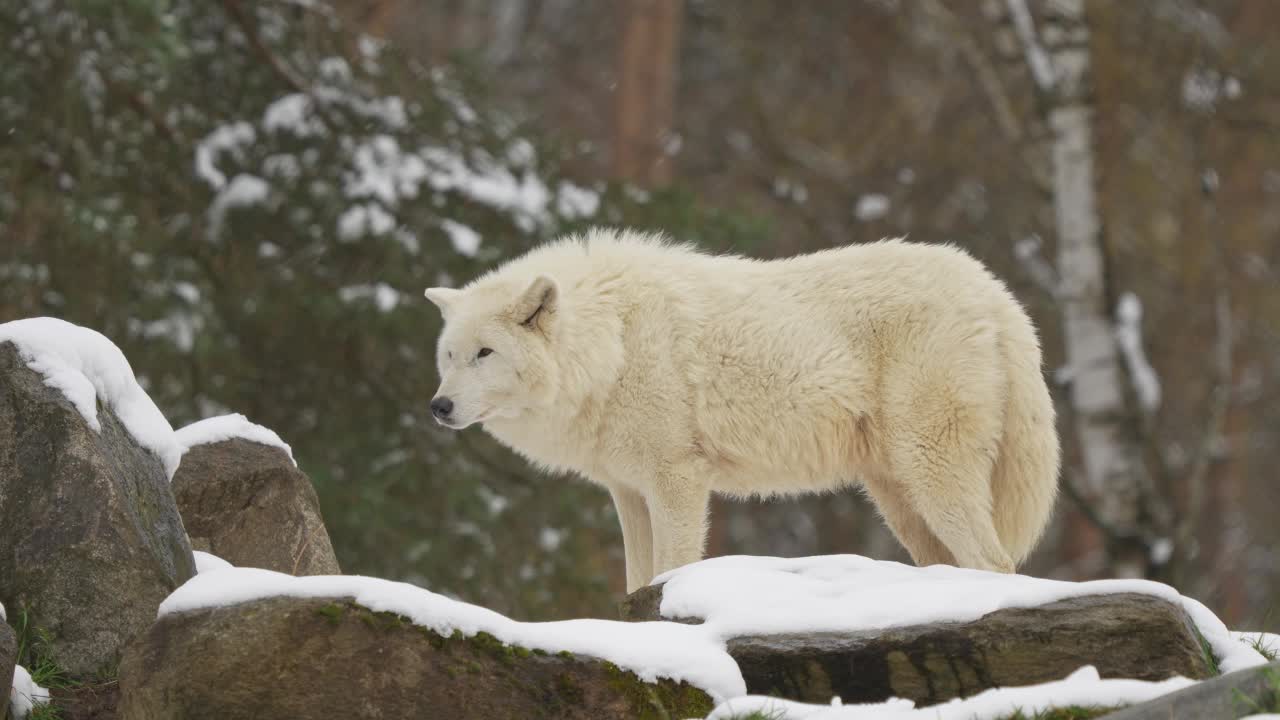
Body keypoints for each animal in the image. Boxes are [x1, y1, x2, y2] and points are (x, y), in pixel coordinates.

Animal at [424, 226, 1054, 591]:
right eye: (449, 355)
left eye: (485, 353)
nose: (438, 406)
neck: (613, 343)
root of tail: (993, 290)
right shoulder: (627, 490)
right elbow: (635, 581)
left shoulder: (677, 478)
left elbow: (669, 569)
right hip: (897, 495)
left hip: (930, 470)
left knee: (996, 565)